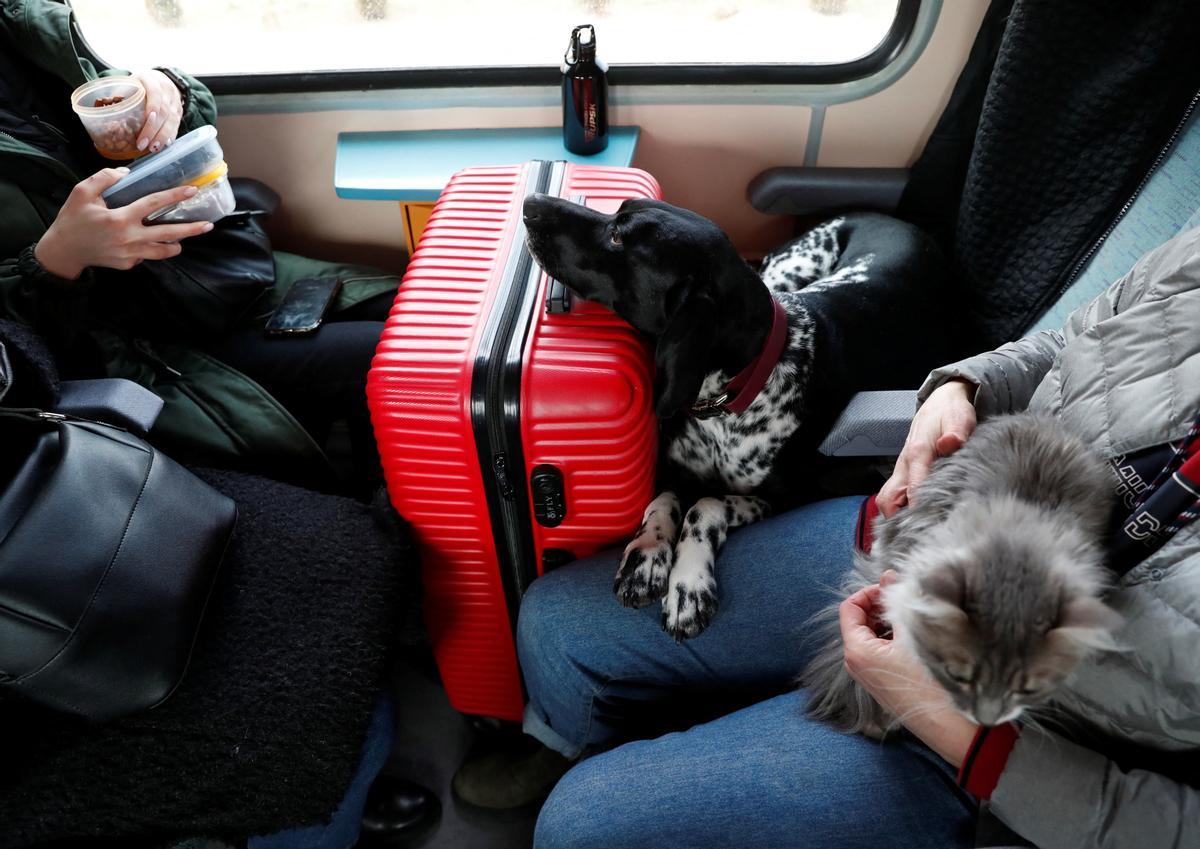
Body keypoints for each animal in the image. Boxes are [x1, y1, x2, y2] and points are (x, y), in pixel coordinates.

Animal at [525, 195, 955, 637]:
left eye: (616, 237)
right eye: (618, 212)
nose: (531, 203)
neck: (729, 399)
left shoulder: (789, 498)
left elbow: (706, 504)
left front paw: (688, 585)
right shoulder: (674, 470)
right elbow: (663, 500)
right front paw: (646, 556)